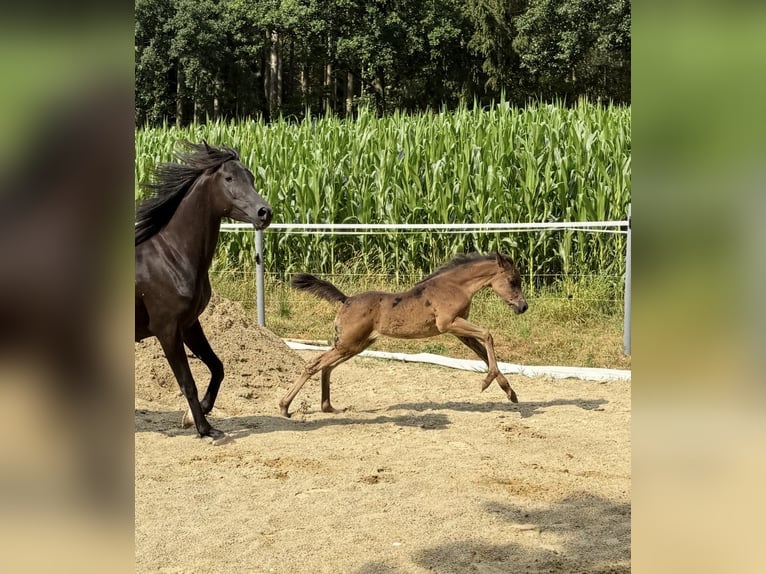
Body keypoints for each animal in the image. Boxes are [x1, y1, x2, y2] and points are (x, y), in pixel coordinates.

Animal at [135, 141, 272, 440]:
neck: (172, 257)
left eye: (251, 177)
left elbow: (217, 367)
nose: (265, 213)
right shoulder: (167, 330)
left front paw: (193, 416)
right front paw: (205, 429)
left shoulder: (189, 325)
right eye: (229, 178)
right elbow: (187, 382)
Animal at [279, 252, 528, 417]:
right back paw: (284, 407)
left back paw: (328, 407)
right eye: (512, 281)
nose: (523, 307)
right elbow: (488, 335)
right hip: (348, 344)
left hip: (355, 345)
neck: (455, 286)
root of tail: (346, 299)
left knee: (326, 367)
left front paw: (510, 392)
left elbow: (484, 353)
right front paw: (487, 382)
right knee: (313, 364)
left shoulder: (459, 332)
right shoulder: (449, 324)